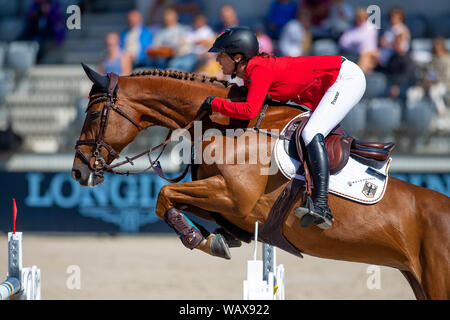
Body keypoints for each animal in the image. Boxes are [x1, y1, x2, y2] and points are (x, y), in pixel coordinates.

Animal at [72, 65, 448, 300]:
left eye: (93, 113)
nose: (78, 171)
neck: (231, 126)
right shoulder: (227, 204)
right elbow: (175, 201)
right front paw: (220, 238)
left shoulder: (232, 197)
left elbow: (163, 195)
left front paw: (201, 239)